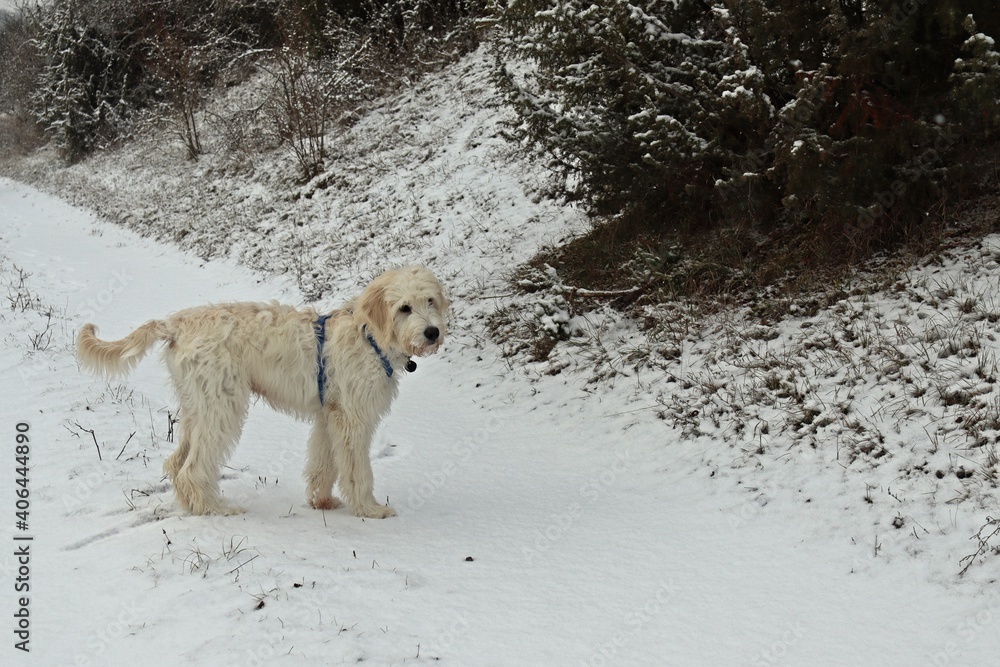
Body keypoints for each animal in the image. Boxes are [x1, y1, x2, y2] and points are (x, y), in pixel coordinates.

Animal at [78, 264, 450, 516]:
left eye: (430, 301)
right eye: (404, 307)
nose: (432, 332)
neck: (368, 335)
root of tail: (178, 323)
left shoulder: (329, 415)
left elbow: (323, 462)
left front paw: (322, 501)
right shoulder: (353, 419)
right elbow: (358, 470)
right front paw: (371, 509)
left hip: (198, 406)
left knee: (176, 462)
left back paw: (194, 505)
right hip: (222, 407)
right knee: (192, 468)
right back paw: (216, 509)